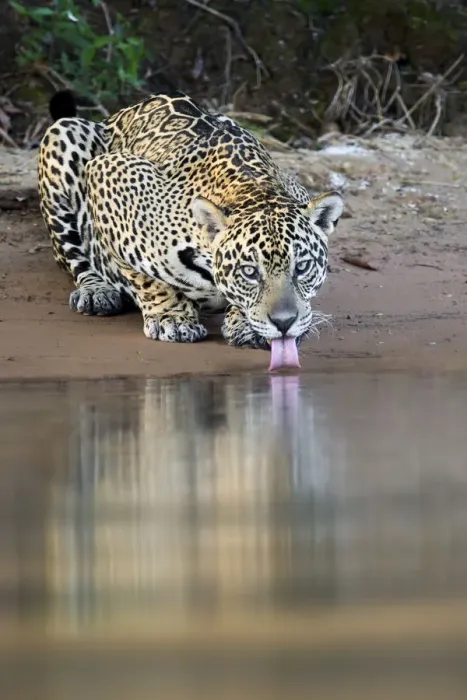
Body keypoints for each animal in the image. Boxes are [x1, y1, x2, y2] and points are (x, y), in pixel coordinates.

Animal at [38, 89, 343, 358]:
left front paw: (245, 324)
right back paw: (96, 292)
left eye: (302, 267)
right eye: (249, 272)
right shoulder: (109, 171)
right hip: (63, 135)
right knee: (72, 255)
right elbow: (144, 277)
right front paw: (171, 317)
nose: (284, 323)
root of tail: (115, 116)